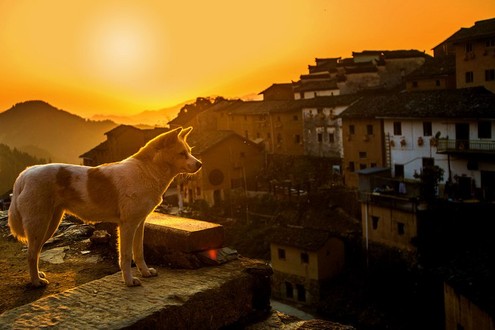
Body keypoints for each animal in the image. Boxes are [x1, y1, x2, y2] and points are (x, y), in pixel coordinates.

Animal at [7, 126, 202, 286]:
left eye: (189, 151)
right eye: (182, 153)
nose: (200, 164)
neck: (147, 171)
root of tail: (25, 173)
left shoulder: (139, 224)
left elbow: (138, 252)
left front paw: (145, 272)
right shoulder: (127, 225)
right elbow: (126, 256)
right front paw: (129, 281)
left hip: (49, 225)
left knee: (34, 252)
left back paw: (38, 276)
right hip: (39, 225)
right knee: (31, 254)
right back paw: (35, 282)